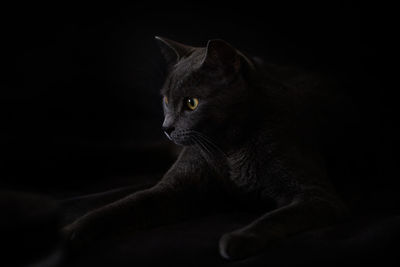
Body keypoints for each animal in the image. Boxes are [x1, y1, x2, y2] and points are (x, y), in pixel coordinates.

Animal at [64, 36, 348, 260]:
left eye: (192, 103)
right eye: (165, 100)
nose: (166, 127)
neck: (231, 151)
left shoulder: (315, 194)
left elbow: (276, 217)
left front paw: (236, 240)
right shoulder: (176, 186)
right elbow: (128, 203)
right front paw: (72, 231)